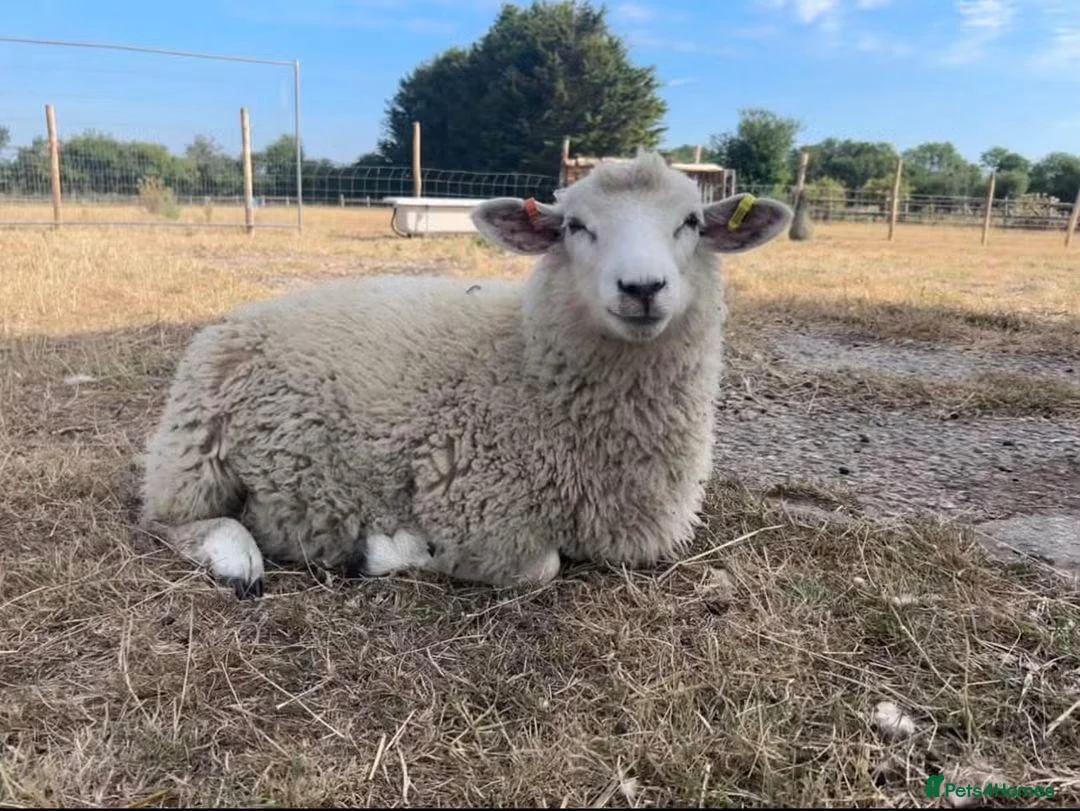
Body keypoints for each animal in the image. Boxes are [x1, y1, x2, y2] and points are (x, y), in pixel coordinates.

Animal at [139, 151, 793, 598]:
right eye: (575, 226)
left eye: (691, 222)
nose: (642, 288)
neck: (526, 366)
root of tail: (238, 317)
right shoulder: (475, 508)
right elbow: (539, 568)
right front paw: (389, 549)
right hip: (195, 454)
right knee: (163, 519)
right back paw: (238, 557)